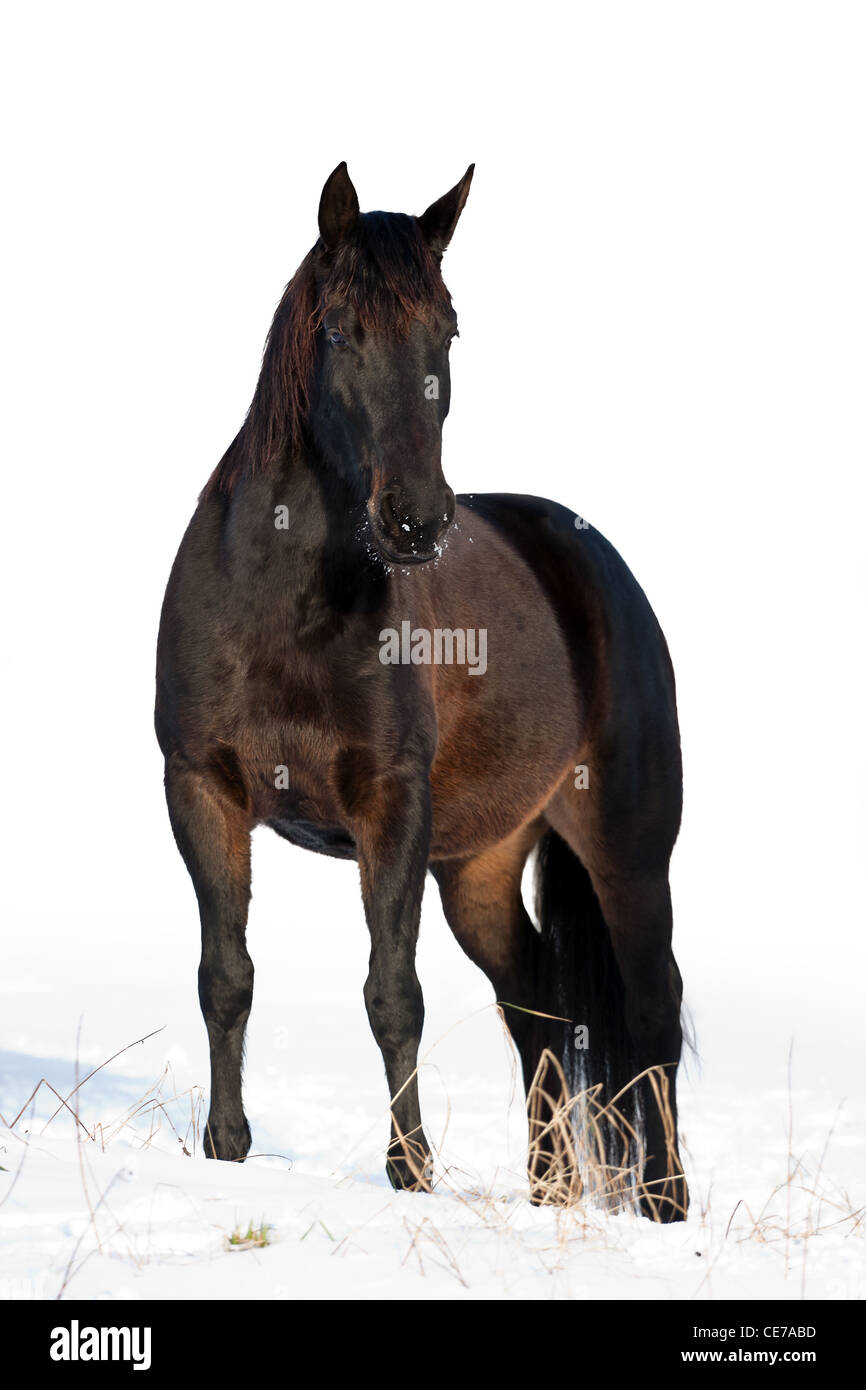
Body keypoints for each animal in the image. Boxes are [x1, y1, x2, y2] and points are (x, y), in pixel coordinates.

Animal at [155, 162, 689, 1222]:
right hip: (480, 864)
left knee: (652, 1015)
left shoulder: (390, 802)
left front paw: (411, 1174)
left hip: (628, 850)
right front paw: (225, 1152)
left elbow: (392, 993)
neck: (283, 602)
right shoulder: (201, 790)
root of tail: (595, 562)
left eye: (448, 329)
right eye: (337, 331)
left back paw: (665, 1207)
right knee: (537, 1002)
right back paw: (550, 1191)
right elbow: (225, 976)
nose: (415, 520)